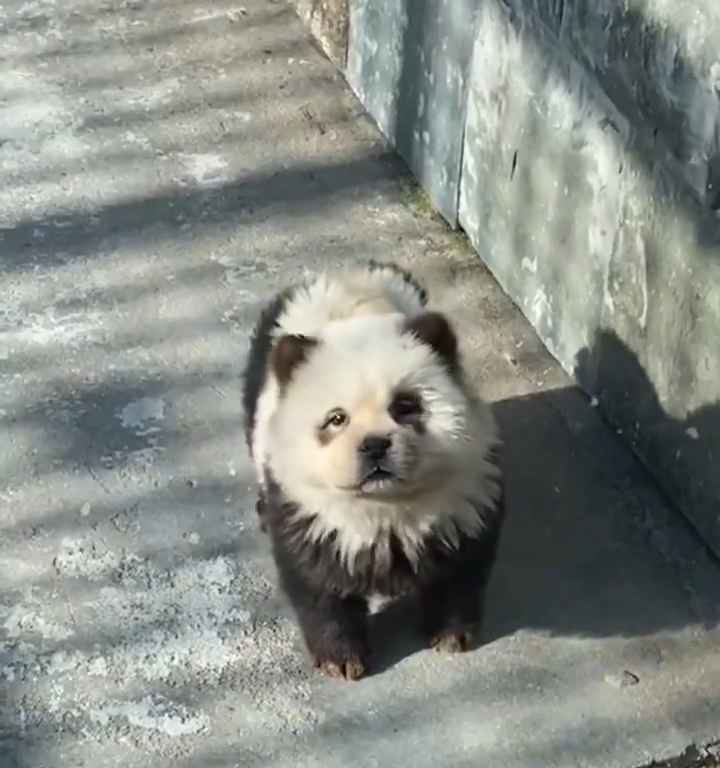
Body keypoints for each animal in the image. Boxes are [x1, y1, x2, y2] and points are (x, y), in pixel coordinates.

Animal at [242, 262, 500, 680]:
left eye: (405, 405)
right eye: (336, 418)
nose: (375, 445)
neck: (384, 507)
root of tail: (347, 274)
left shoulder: (464, 494)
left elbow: (460, 567)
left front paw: (450, 634)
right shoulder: (310, 513)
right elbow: (318, 583)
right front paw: (340, 658)